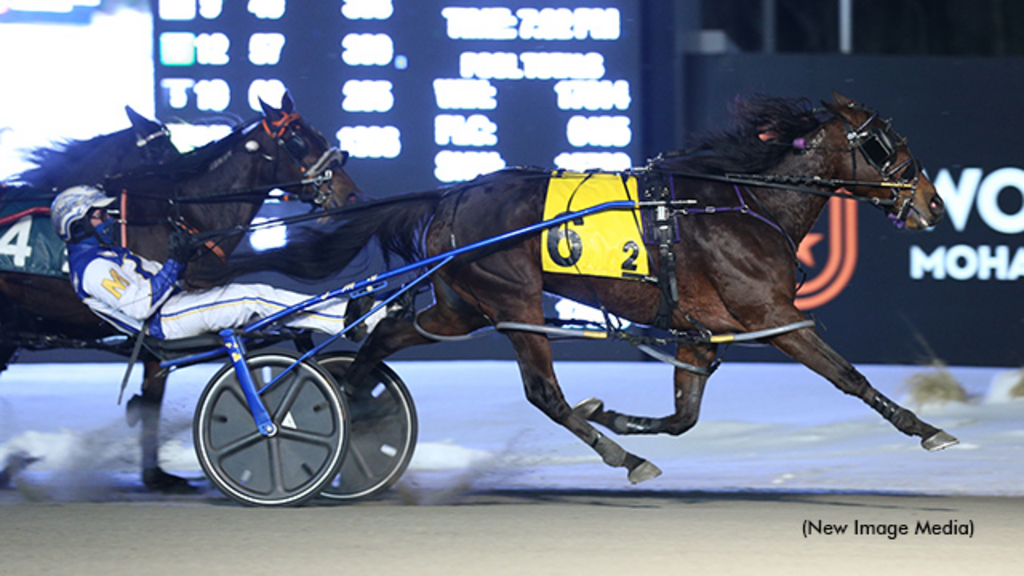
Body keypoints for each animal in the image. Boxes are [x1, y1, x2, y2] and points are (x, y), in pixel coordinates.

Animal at [2, 94, 362, 487]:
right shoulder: (156, 331)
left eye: (318, 135)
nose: (350, 193)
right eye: (296, 140)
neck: (177, 214)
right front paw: (156, 475)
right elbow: (153, 396)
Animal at [209, 93, 950, 483]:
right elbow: (848, 377)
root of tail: (451, 195)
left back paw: (356, 402)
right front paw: (928, 430)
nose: (934, 204)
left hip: (461, 305)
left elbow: (685, 415)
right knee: (542, 393)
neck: (740, 203)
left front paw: (619, 415)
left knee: (388, 332)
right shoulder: (774, 316)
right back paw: (625, 458)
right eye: (883, 144)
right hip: (513, 301)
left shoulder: (700, 334)